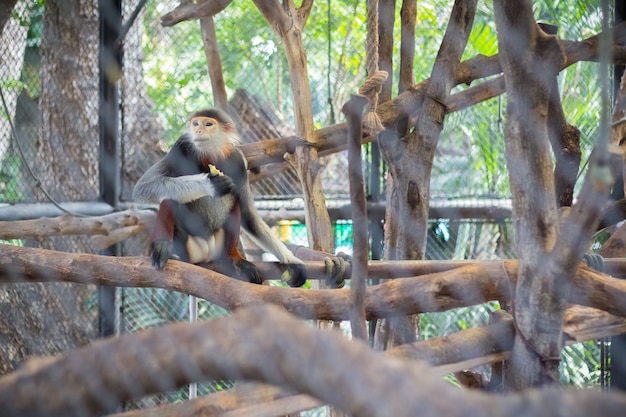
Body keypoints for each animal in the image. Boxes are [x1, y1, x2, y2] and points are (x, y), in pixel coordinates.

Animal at [133, 107, 306, 286]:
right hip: (188, 247)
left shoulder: (238, 160)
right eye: (196, 123)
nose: (198, 130)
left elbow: (248, 213)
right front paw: (210, 185)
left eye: (208, 124)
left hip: (219, 247)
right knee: (170, 198)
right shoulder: (180, 147)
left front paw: (291, 260)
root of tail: (206, 253)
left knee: (236, 202)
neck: (211, 152)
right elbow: (143, 187)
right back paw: (161, 247)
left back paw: (234, 259)